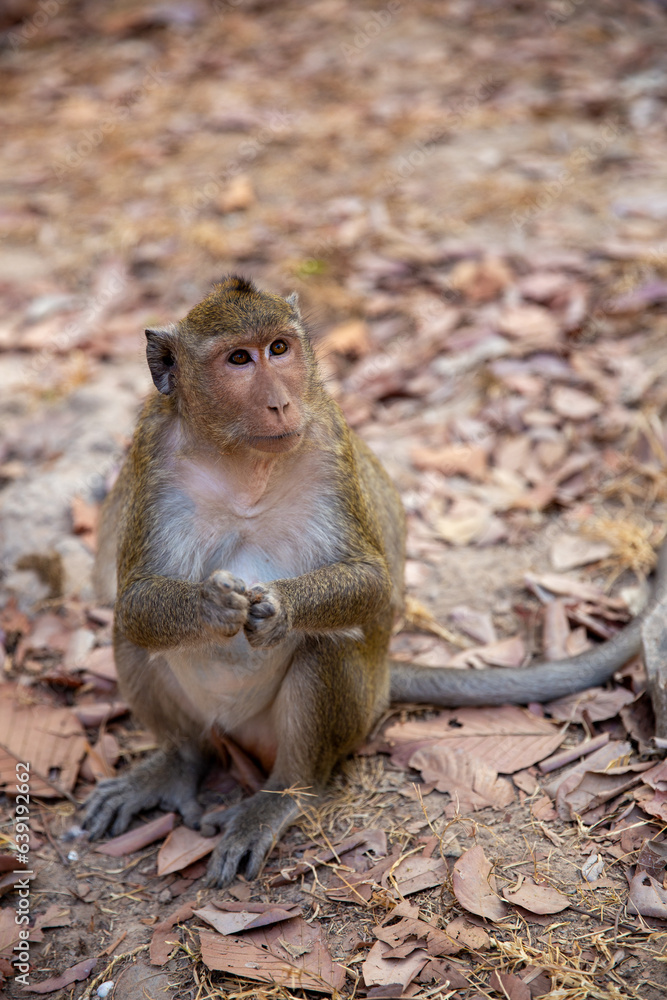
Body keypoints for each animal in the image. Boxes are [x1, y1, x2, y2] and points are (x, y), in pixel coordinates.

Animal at [83, 275, 667, 887]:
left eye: (279, 349)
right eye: (239, 359)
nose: (280, 401)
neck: (242, 461)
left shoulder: (327, 439)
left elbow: (372, 584)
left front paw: (280, 607)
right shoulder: (153, 452)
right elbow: (135, 601)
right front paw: (214, 607)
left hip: (341, 716)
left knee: (326, 649)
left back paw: (284, 797)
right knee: (134, 639)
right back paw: (178, 762)